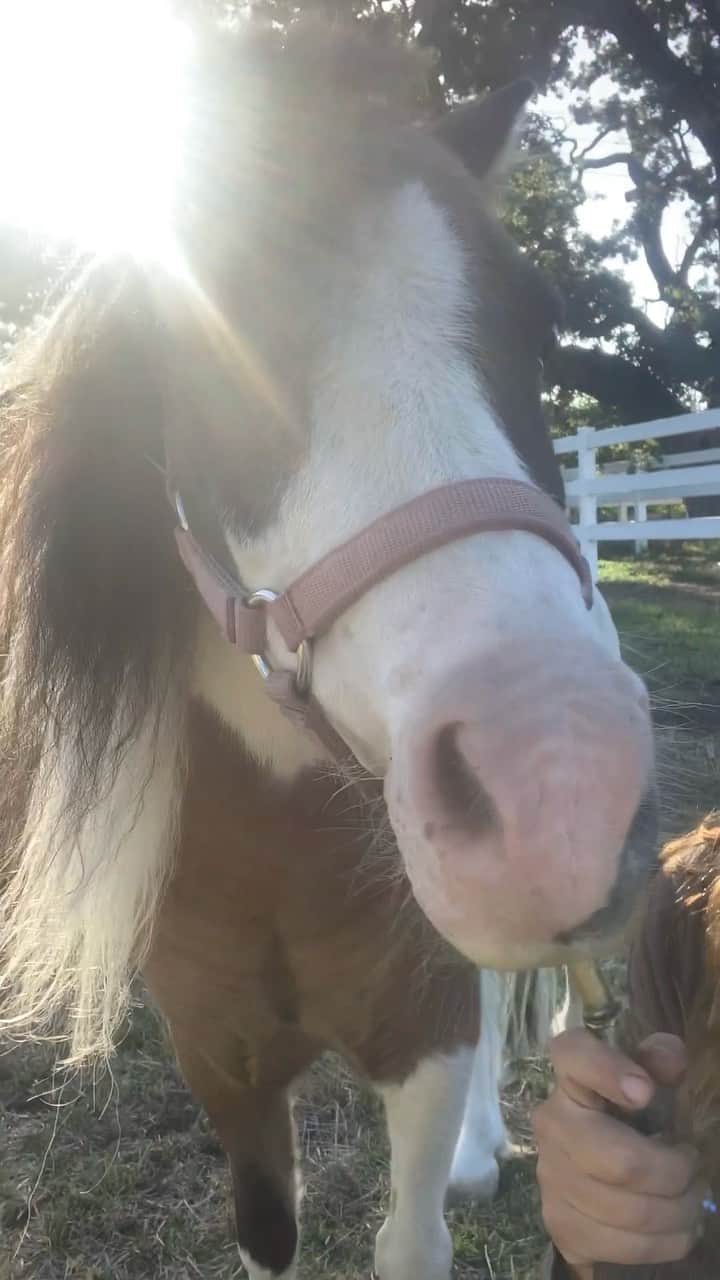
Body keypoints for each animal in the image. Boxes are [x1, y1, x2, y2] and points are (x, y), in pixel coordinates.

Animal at [0, 22, 657, 1280]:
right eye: (206, 339)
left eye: (537, 318)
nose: (563, 790)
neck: (276, 843)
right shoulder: (226, 1066)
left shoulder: (423, 1038)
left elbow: (416, 1222)